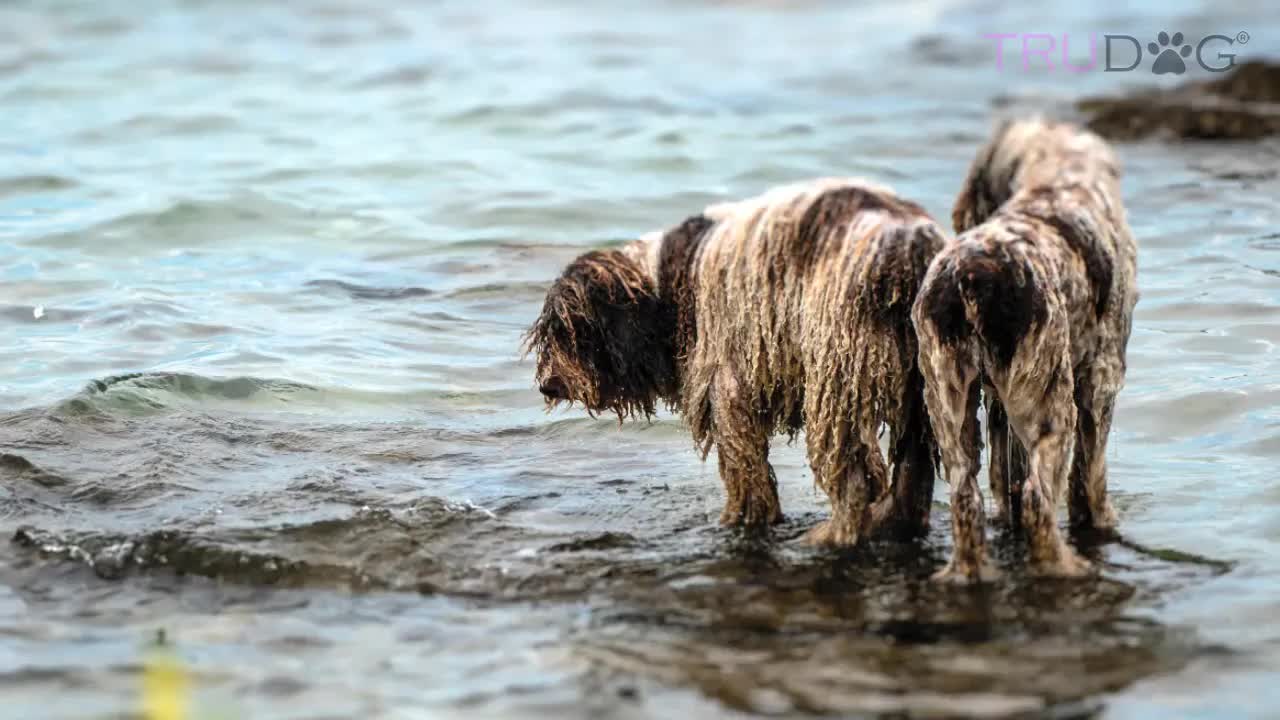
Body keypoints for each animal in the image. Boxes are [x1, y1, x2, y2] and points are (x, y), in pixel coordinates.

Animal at [522, 179, 952, 543]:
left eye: (570, 332)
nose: (547, 385)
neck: (662, 286)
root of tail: (906, 251)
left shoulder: (725, 385)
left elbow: (745, 469)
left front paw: (743, 520)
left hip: (838, 378)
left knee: (854, 478)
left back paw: (832, 536)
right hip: (923, 386)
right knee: (914, 472)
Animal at [911, 117, 1141, 576]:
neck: (1058, 177)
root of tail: (973, 278)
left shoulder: (997, 400)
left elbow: (1006, 479)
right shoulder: (1101, 382)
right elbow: (1089, 478)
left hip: (948, 403)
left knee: (967, 498)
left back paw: (969, 573)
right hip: (1053, 404)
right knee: (1038, 498)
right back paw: (1063, 565)